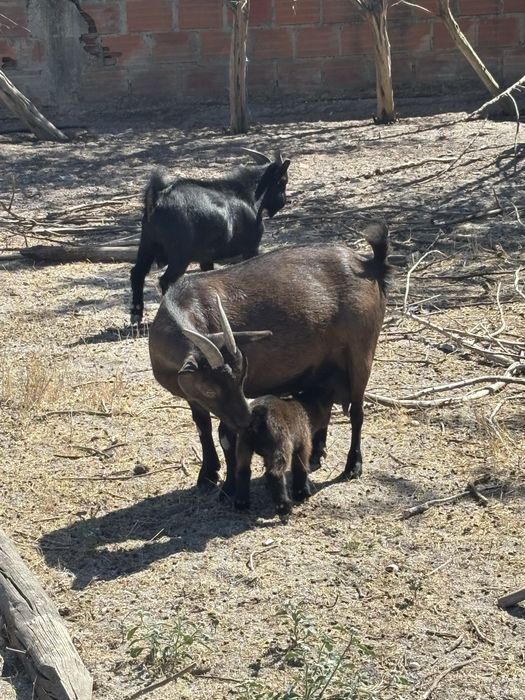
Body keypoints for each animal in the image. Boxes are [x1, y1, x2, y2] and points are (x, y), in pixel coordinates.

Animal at [130, 149, 291, 323]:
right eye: (283, 181)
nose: (283, 202)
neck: (248, 195)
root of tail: (157, 200)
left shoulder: (206, 258)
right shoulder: (251, 247)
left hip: (146, 244)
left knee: (137, 273)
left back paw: (136, 315)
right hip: (180, 255)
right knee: (166, 280)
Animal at [148, 222, 391, 496]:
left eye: (242, 380)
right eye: (209, 389)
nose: (246, 420)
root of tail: (369, 265)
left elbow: (226, 435)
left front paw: (229, 486)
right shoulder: (194, 396)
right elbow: (203, 428)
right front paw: (208, 474)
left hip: (361, 353)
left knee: (357, 411)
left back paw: (353, 465)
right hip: (323, 367)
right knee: (325, 404)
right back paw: (316, 454)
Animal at [235, 383, 335, 516]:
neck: (305, 408)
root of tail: (257, 415)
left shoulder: (268, 455)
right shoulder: (303, 446)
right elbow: (300, 468)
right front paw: (301, 493)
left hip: (244, 445)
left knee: (243, 471)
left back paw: (241, 502)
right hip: (282, 445)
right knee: (275, 473)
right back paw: (284, 506)